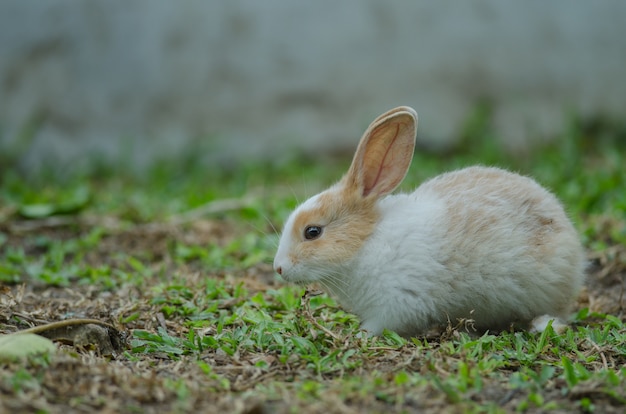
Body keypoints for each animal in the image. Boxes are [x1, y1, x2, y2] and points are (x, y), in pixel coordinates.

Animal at [272, 106, 584, 336]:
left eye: (313, 232)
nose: (279, 268)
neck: (365, 244)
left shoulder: (395, 305)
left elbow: (378, 325)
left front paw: (359, 335)